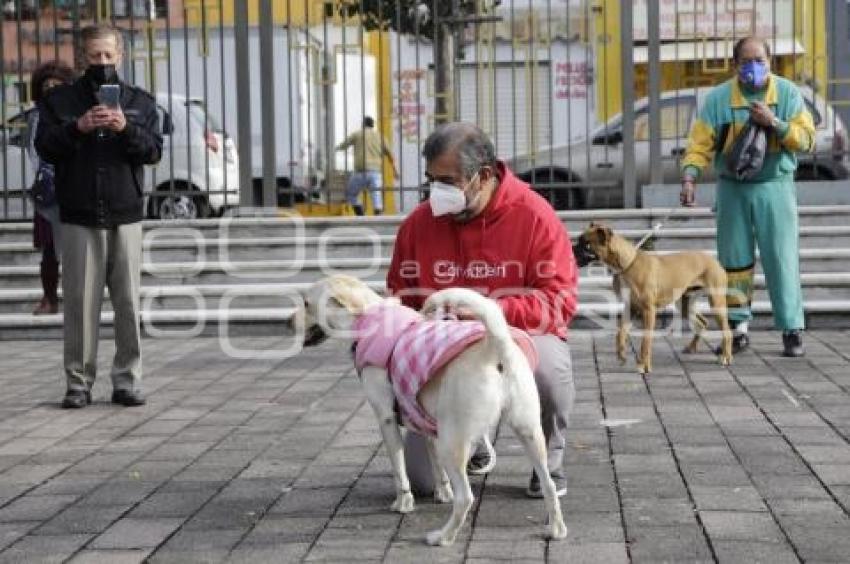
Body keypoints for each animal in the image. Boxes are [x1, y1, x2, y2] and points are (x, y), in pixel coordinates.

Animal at [298, 274, 564, 548]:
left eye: (306, 303)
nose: (288, 323)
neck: (366, 316)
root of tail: (494, 347)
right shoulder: (426, 425)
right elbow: (436, 468)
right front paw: (442, 493)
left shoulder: (386, 419)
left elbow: (399, 470)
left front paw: (403, 503)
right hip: (528, 433)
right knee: (548, 485)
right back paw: (555, 529)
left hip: (453, 442)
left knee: (466, 498)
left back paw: (443, 537)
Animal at [580, 224, 732, 374]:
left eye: (587, 245)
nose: (574, 249)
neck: (628, 264)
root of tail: (714, 260)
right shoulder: (630, 308)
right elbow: (621, 333)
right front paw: (621, 355)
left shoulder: (648, 311)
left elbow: (645, 341)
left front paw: (644, 365)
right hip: (683, 304)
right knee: (702, 322)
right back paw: (691, 347)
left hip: (716, 302)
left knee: (726, 331)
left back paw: (726, 357)